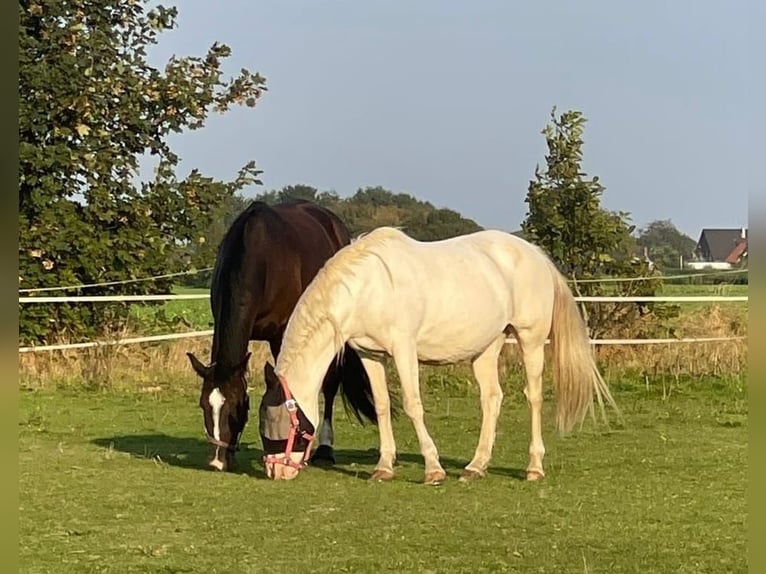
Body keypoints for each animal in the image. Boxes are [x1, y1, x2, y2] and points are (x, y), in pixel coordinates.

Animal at [187, 200, 378, 474]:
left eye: (237, 406)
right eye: (204, 405)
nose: (216, 462)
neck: (259, 254)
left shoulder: (282, 335)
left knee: (330, 386)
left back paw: (324, 450)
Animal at [260, 227, 620, 484]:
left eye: (281, 424)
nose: (275, 471)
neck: (369, 287)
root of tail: (536, 256)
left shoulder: (403, 349)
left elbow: (413, 405)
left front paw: (433, 470)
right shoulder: (370, 354)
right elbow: (382, 406)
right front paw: (383, 468)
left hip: (530, 340)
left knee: (532, 397)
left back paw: (534, 468)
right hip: (487, 348)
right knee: (492, 398)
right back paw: (476, 466)